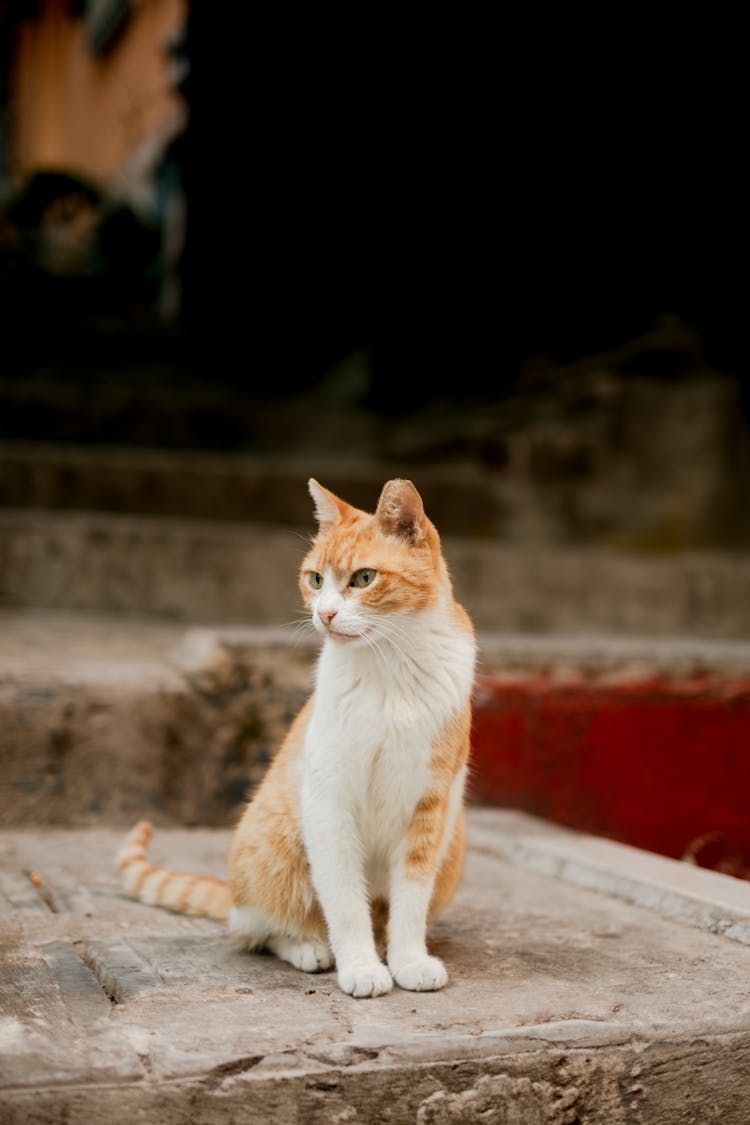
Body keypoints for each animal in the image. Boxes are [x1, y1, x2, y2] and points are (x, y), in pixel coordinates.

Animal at [116, 479, 474, 999]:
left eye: (364, 578)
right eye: (316, 579)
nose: (325, 615)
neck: (391, 666)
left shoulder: (429, 806)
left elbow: (409, 901)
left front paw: (408, 960)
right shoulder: (330, 800)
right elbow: (344, 900)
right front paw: (361, 967)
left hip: (453, 841)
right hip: (277, 841)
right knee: (255, 927)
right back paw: (309, 947)